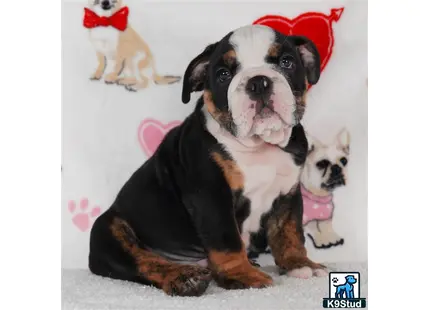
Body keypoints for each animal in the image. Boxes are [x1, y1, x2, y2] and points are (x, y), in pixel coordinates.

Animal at [89, 24, 328, 296]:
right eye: (223, 74)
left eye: (287, 62)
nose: (258, 82)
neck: (258, 146)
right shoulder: (211, 195)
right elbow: (227, 240)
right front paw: (242, 274)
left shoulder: (288, 194)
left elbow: (290, 232)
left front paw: (300, 263)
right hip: (109, 229)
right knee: (144, 262)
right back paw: (185, 277)